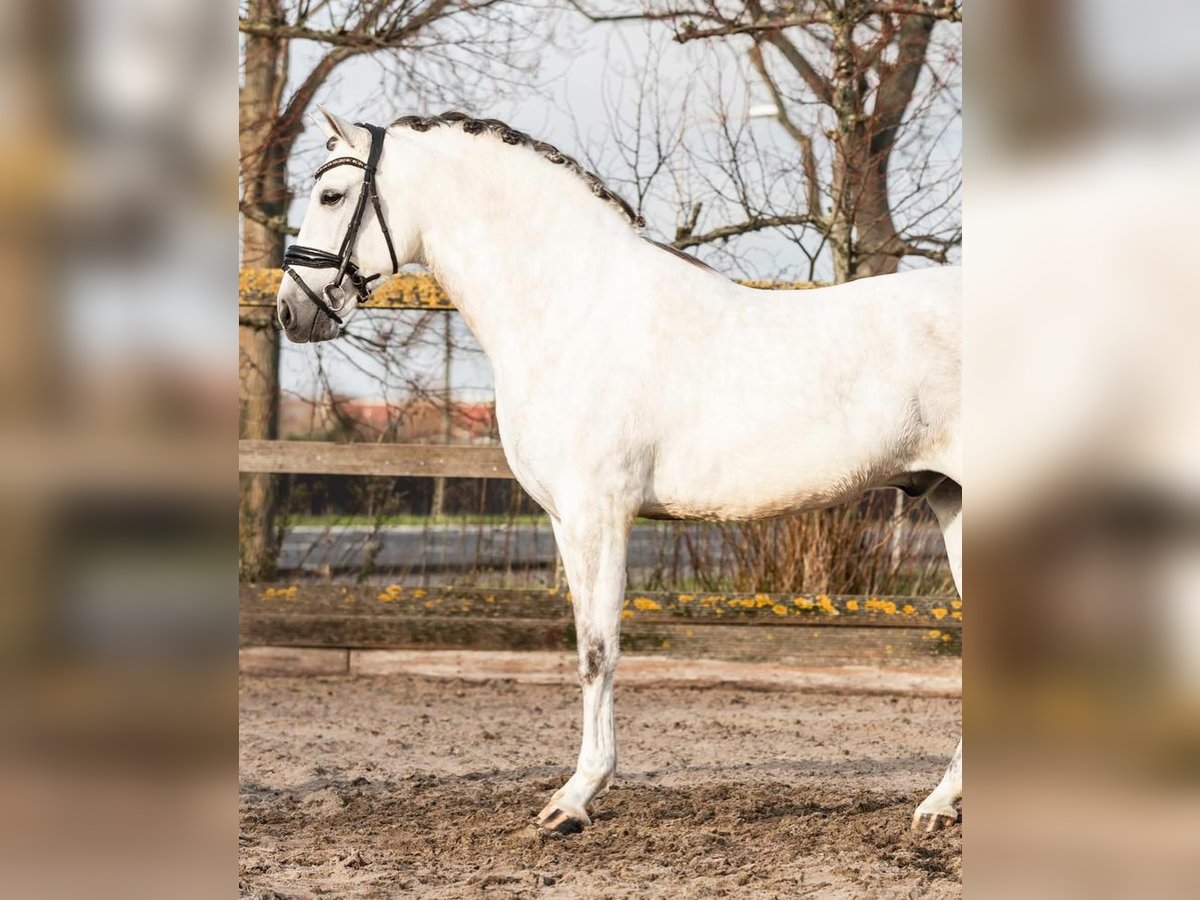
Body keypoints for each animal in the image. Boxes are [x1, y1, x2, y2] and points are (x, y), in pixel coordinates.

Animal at [276, 109, 960, 835]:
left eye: (330, 196)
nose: (291, 310)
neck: (572, 312)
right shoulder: (565, 519)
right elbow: (587, 643)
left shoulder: (597, 512)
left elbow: (597, 650)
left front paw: (573, 800)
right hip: (951, 501)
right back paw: (937, 806)